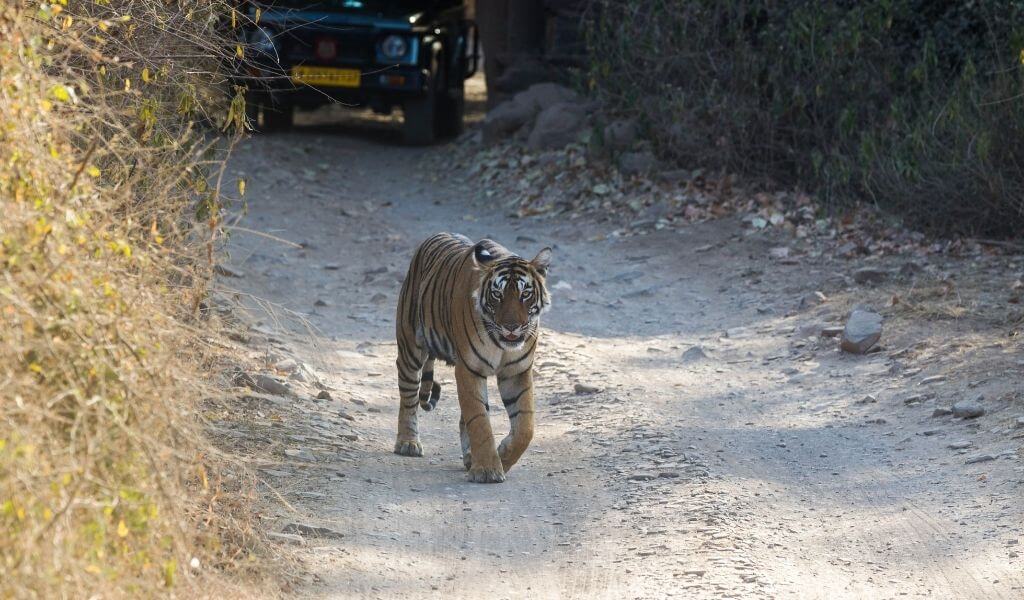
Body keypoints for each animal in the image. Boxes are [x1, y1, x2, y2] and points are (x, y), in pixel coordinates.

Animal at [391, 231, 552, 483]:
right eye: (497, 295)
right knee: (409, 396)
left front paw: (503, 456)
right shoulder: (469, 368)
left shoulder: (517, 372)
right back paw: (408, 443)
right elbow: (479, 420)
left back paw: (469, 457)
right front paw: (487, 469)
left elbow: (525, 426)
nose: (512, 327)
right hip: (410, 347)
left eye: (525, 294)